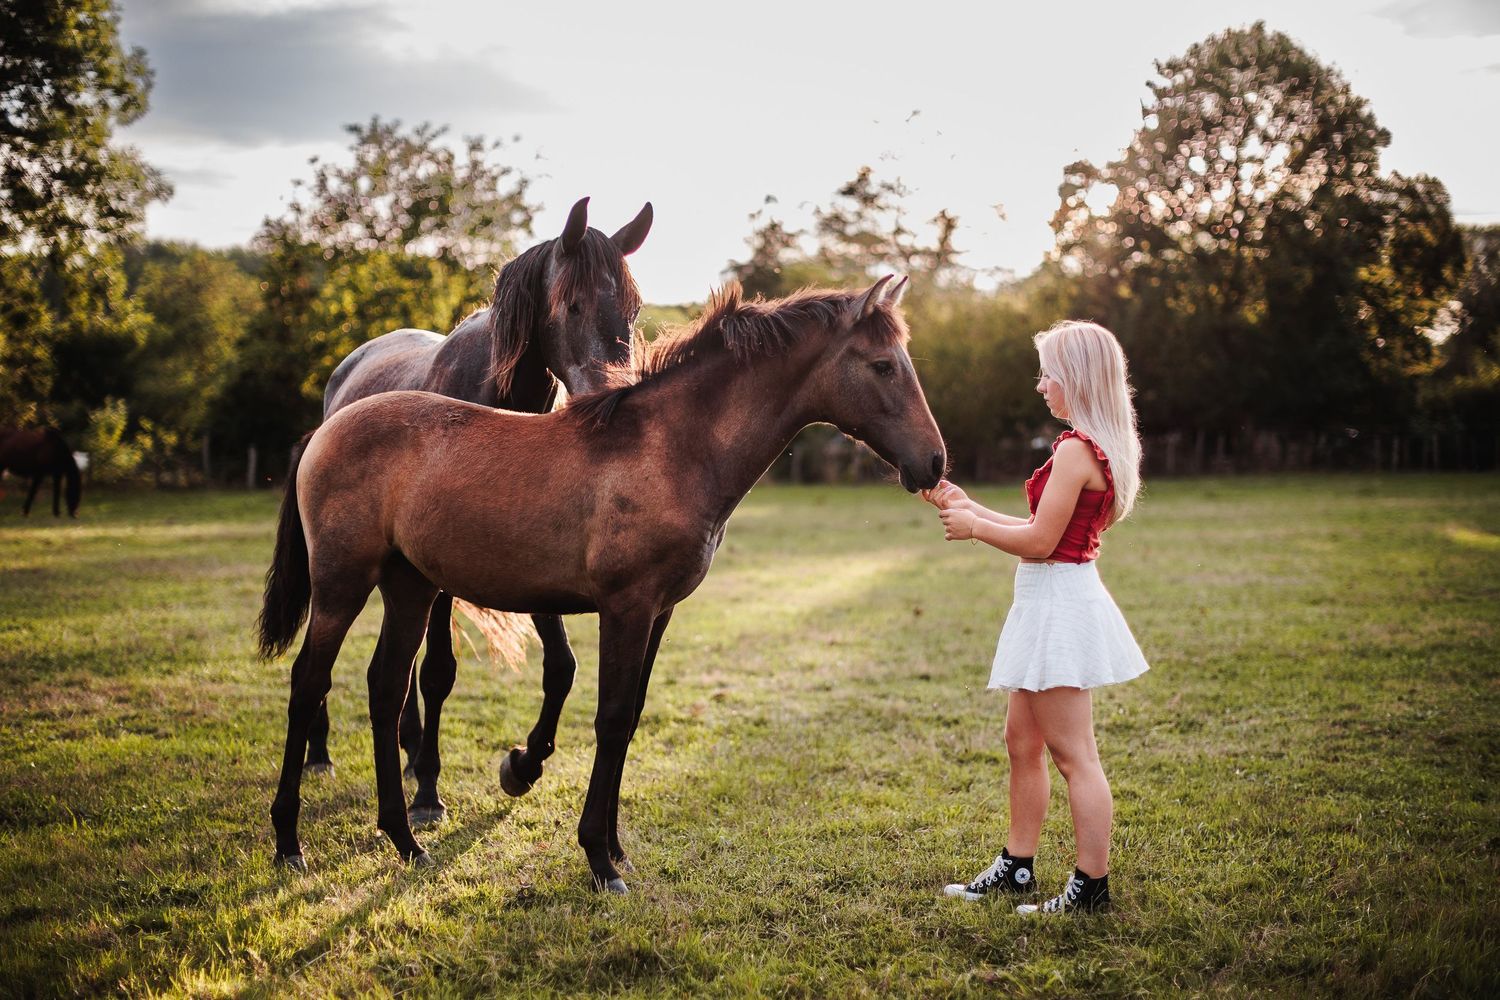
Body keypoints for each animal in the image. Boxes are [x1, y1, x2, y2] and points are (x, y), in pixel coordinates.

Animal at [257, 275, 946, 892]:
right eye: (883, 365)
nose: (934, 463)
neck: (670, 449)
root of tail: (325, 430)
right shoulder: (626, 607)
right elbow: (611, 719)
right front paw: (597, 859)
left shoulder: (659, 612)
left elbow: (631, 716)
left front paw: (615, 849)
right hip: (341, 585)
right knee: (309, 683)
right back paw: (289, 842)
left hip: (410, 589)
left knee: (385, 686)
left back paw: (406, 841)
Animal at [311, 196, 653, 827]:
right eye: (572, 304)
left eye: (634, 309)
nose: (612, 400)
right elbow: (439, 673)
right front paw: (427, 793)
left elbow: (561, 666)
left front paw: (524, 764)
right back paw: (329, 754)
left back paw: (406, 749)